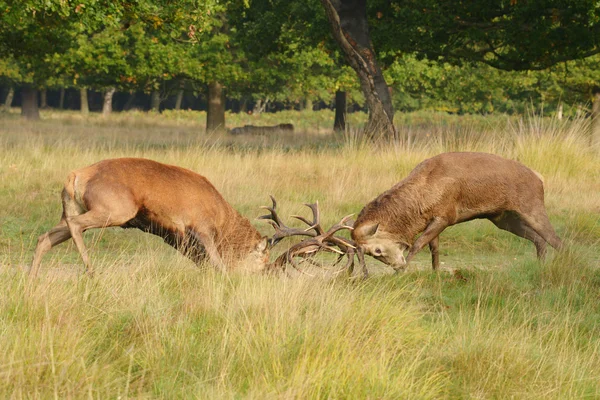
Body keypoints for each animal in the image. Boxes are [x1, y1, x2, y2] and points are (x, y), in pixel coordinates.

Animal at [30, 158, 270, 276]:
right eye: (263, 258)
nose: (262, 275)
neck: (221, 212)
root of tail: (77, 176)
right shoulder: (201, 229)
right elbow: (219, 264)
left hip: (71, 213)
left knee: (44, 238)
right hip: (112, 213)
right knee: (75, 226)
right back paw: (91, 271)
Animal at [352, 152, 564, 272]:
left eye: (377, 250)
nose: (396, 265)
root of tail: (539, 177)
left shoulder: (445, 216)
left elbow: (418, 244)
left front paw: (402, 272)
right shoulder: (433, 219)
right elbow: (434, 248)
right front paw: (435, 273)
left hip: (532, 206)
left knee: (557, 240)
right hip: (503, 218)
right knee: (539, 240)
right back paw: (540, 266)